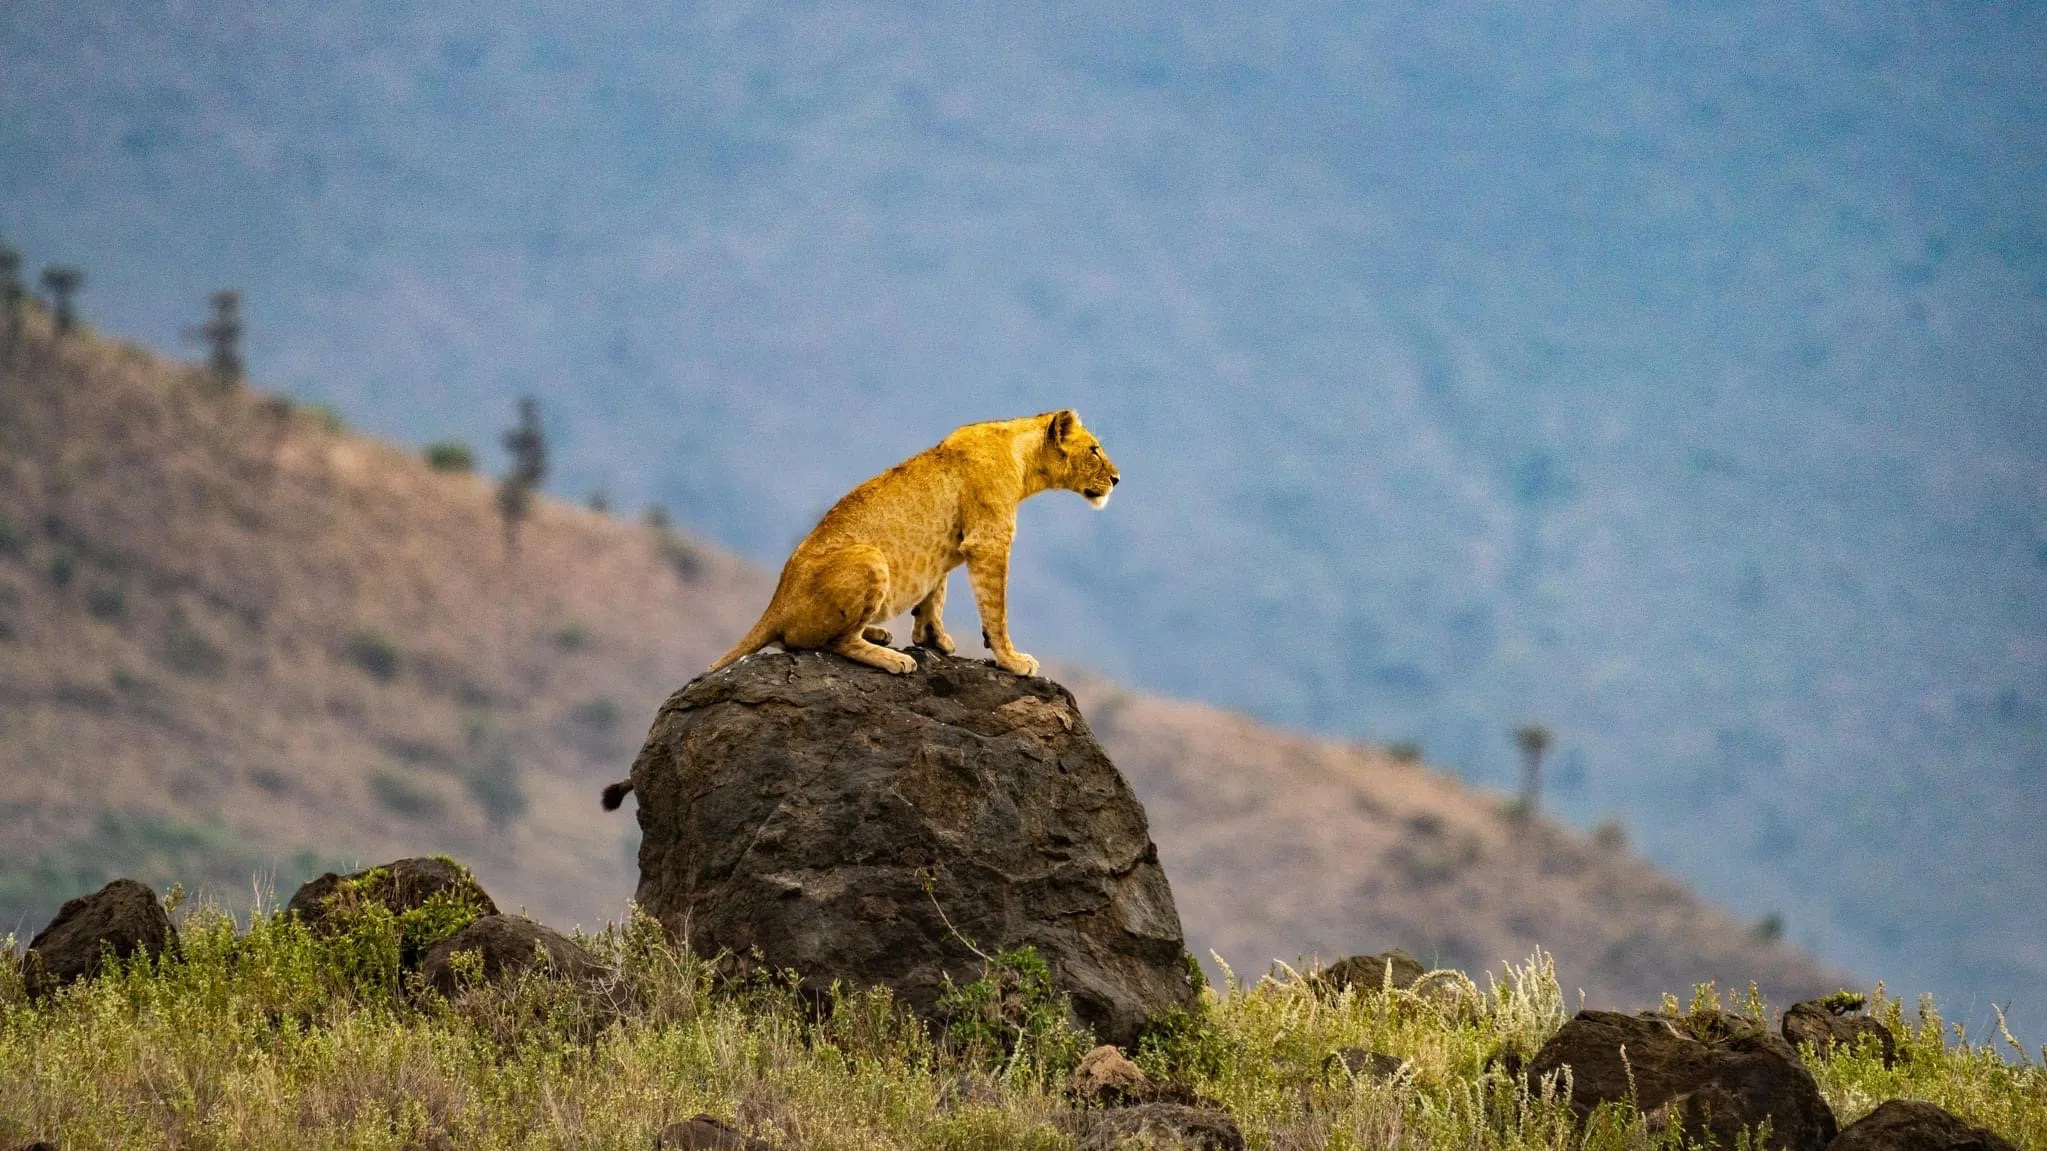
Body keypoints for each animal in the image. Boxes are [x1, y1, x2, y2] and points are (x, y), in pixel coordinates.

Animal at [704, 405, 1121, 671]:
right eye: (1094, 450)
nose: (1117, 479)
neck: (1024, 460)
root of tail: (775, 605)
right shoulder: (988, 541)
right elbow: (996, 609)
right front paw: (1012, 660)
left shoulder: (951, 545)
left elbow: (935, 592)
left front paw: (932, 638)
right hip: (870, 557)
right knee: (831, 642)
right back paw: (891, 658)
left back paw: (878, 633)